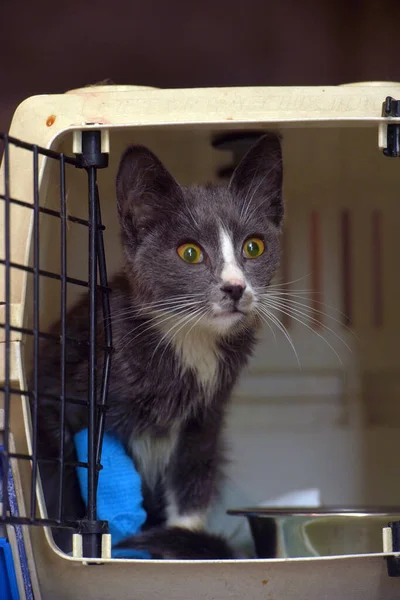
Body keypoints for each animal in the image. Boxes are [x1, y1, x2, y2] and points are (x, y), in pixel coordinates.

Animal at [35, 134, 284, 560]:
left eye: (254, 247)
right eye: (190, 252)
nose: (235, 288)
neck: (190, 339)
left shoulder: (206, 417)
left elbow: (193, 477)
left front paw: (182, 545)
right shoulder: (64, 391)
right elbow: (65, 477)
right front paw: (74, 543)